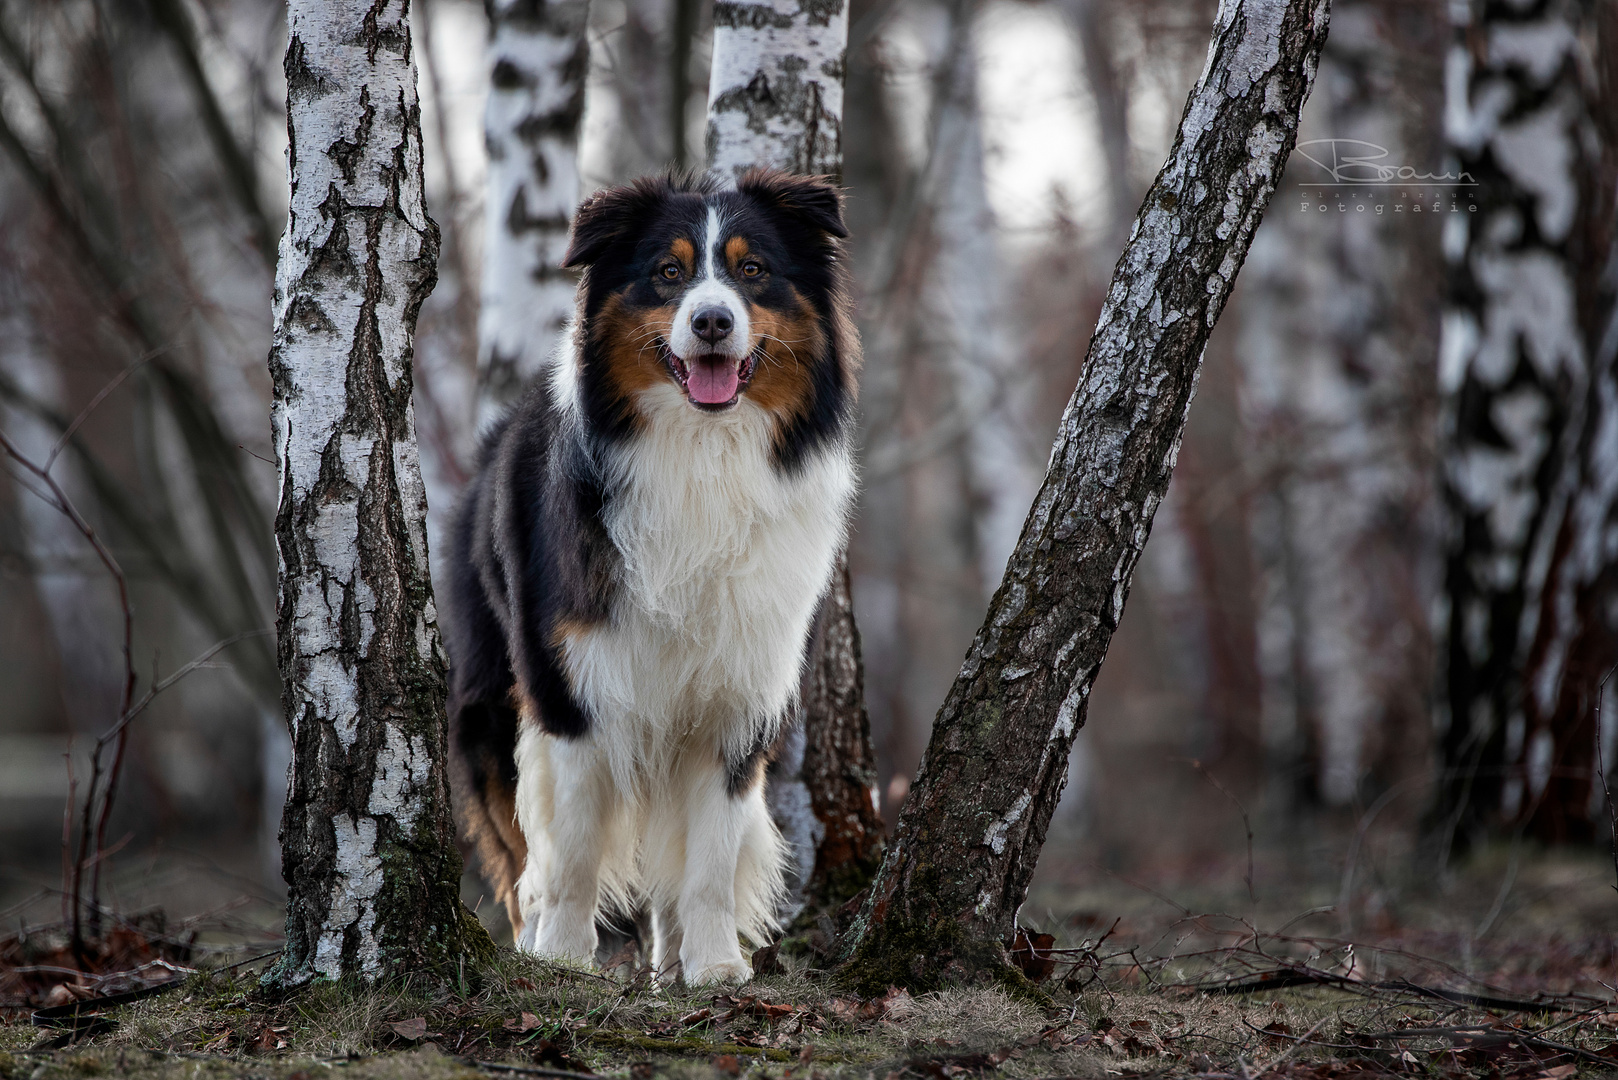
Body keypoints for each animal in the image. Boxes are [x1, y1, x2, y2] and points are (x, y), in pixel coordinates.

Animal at [443, 169, 860, 990]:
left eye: (753, 269)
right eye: (668, 272)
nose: (711, 322)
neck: (700, 453)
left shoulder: (734, 699)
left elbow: (709, 861)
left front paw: (716, 968)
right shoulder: (572, 687)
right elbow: (571, 850)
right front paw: (563, 959)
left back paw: (670, 960)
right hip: (491, 702)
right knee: (522, 851)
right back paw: (534, 940)